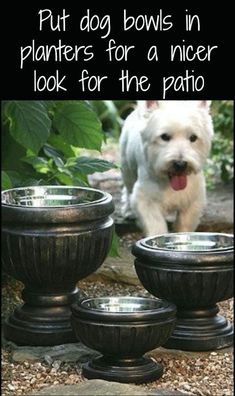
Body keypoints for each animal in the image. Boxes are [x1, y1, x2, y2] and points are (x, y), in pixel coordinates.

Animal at [120, 100, 214, 235]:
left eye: (193, 138)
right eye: (164, 137)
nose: (180, 164)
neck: (169, 182)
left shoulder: (193, 200)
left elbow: (185, 225)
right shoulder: (146, 199)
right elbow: (156, 226)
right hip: (127, 167)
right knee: (128, 188)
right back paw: (128, 211)